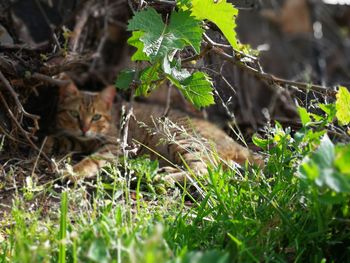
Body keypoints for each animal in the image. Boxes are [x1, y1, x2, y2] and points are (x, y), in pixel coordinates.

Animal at [43, 79, 262, 184]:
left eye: (96, 117)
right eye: (74, 114)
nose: (84, 128)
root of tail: (236, 144)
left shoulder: (115, 145)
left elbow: (91, 160)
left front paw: (73, 172)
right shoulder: (83, 139)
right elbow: (65, 139)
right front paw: (50, 142)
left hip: (180, 139)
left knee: (203, 170)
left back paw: (163, 178)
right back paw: (167, 171)